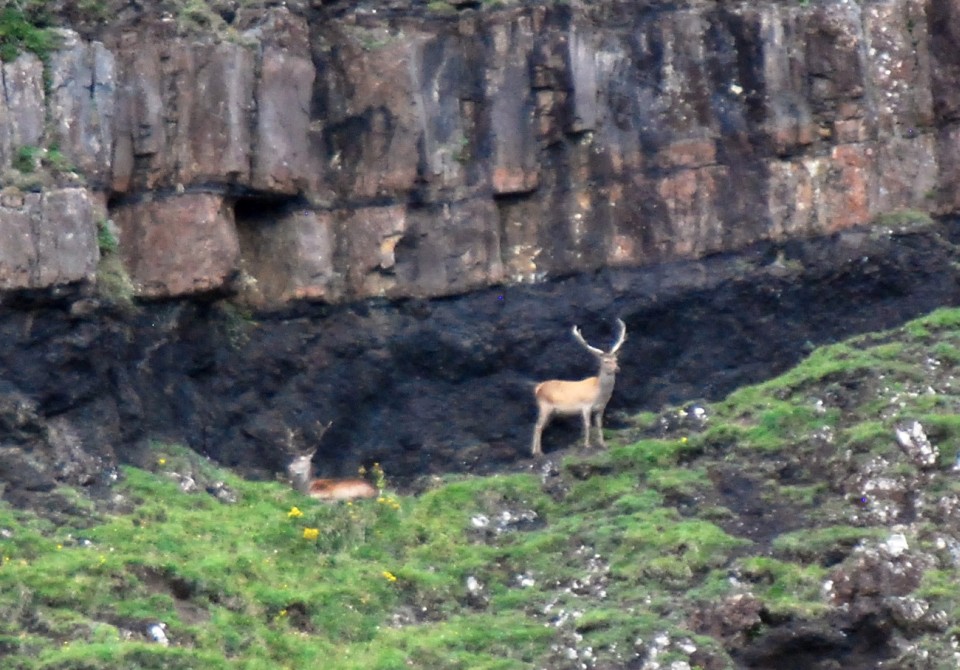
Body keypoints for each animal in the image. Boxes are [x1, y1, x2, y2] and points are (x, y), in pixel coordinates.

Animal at [531, 318, 627, 457]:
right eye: (605, 361)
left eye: (616, 359)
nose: (617, 369)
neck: (599, 394)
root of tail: (538, 387)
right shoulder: (586, 405)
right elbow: (587, 424)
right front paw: (587, 445)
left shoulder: (601, 408)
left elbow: (599, 425)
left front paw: (603, 444)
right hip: (545, 405)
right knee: (537, 426)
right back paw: (537, 452)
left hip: (552, 411)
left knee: (542, 426)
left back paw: (539, 451)